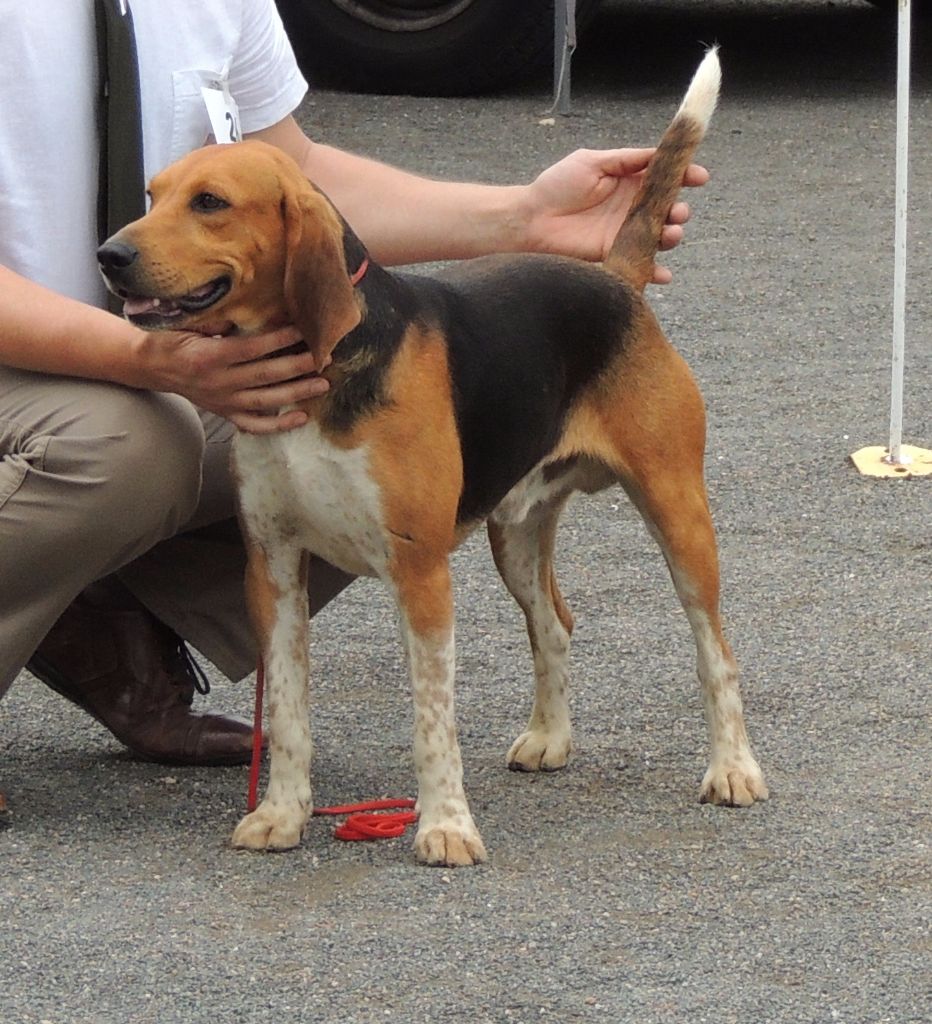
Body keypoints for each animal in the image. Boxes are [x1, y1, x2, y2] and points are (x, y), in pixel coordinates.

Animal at [98, 48, 770, 864]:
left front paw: (446, 824)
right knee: (554, 624)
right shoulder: (273, 569)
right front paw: (283, 813)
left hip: (678, 515)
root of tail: (613, 277)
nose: (110, 254)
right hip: (516, 532)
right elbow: (286, 710)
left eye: (209, 202)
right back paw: (550, 738)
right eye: (152, 195)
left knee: (715, 653)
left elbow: (431, 717)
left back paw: (732, 769)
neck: (322, 375)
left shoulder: (419, 573)